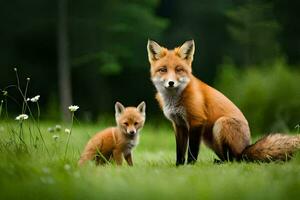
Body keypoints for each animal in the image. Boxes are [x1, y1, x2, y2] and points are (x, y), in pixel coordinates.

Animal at [147, 39, 300, 166]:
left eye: (178, 69)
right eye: (163, 70)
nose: (171, 83)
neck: (174, 100)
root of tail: (245, 148)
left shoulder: (196, 121)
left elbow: (192, 150)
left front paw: (190, 166)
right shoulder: (179, 124)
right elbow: (180, 151)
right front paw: (178, 166)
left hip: (220, 124)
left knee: (234, 160)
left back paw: (222, 163)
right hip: (209, 139)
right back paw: (218, 161)